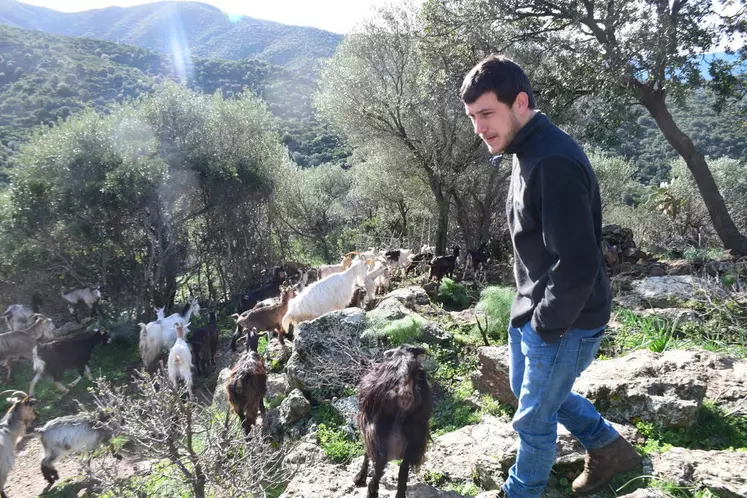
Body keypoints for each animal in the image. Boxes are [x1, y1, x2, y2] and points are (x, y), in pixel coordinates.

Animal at [356, 346, 436, 498]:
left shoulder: (367, 425)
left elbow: (366, 452)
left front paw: (360, 478)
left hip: (380, 433)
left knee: (378, 468)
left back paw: (370, 491)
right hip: (415, 438)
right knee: (403, 469)